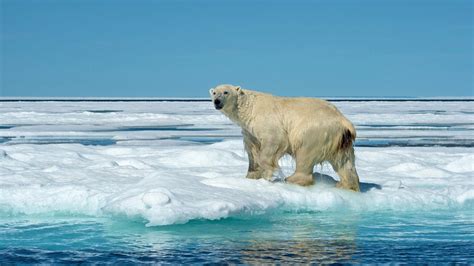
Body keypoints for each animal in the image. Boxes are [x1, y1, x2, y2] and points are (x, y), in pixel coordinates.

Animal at [209, 84, 362, 190]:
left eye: (226, 92)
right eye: (214, 92)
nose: (217, 101)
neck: (250, 108)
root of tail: (343, 120)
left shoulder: (266, 121)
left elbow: (274, 139)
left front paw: (270, 173)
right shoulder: (248, 130)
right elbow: (252, 149)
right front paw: (251, 176)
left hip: (314, 131)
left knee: (305, 153)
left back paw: (292, 179)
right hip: (340, 139)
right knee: (344, 162)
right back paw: (346, 185)